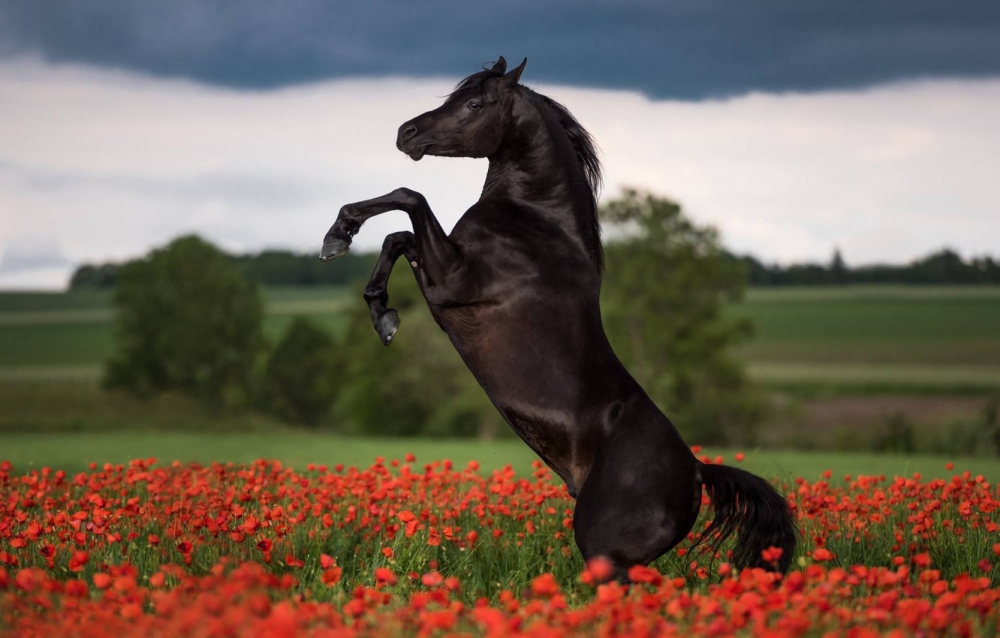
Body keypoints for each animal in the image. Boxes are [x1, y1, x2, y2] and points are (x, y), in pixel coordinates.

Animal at [320, 57, 796, 584]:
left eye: (473, 103)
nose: (407, 133)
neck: (536, 222)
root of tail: (697, 471)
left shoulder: (450, 280)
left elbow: (410, 199)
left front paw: (340, 234)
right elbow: (397, 238)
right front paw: (380, 309)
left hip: (605, 552)